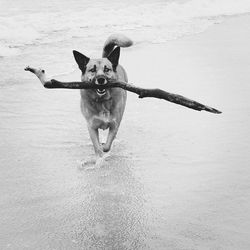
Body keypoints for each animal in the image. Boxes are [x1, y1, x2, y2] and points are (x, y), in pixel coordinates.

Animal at [73, 34, 133, 165]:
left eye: (107, 69)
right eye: (92, 70)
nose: (101, 79)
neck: (102, 102)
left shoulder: (115, 125)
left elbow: (107, 145)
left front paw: (105, 148)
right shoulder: (91, 127)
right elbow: (97, 147)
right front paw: (99, 159)